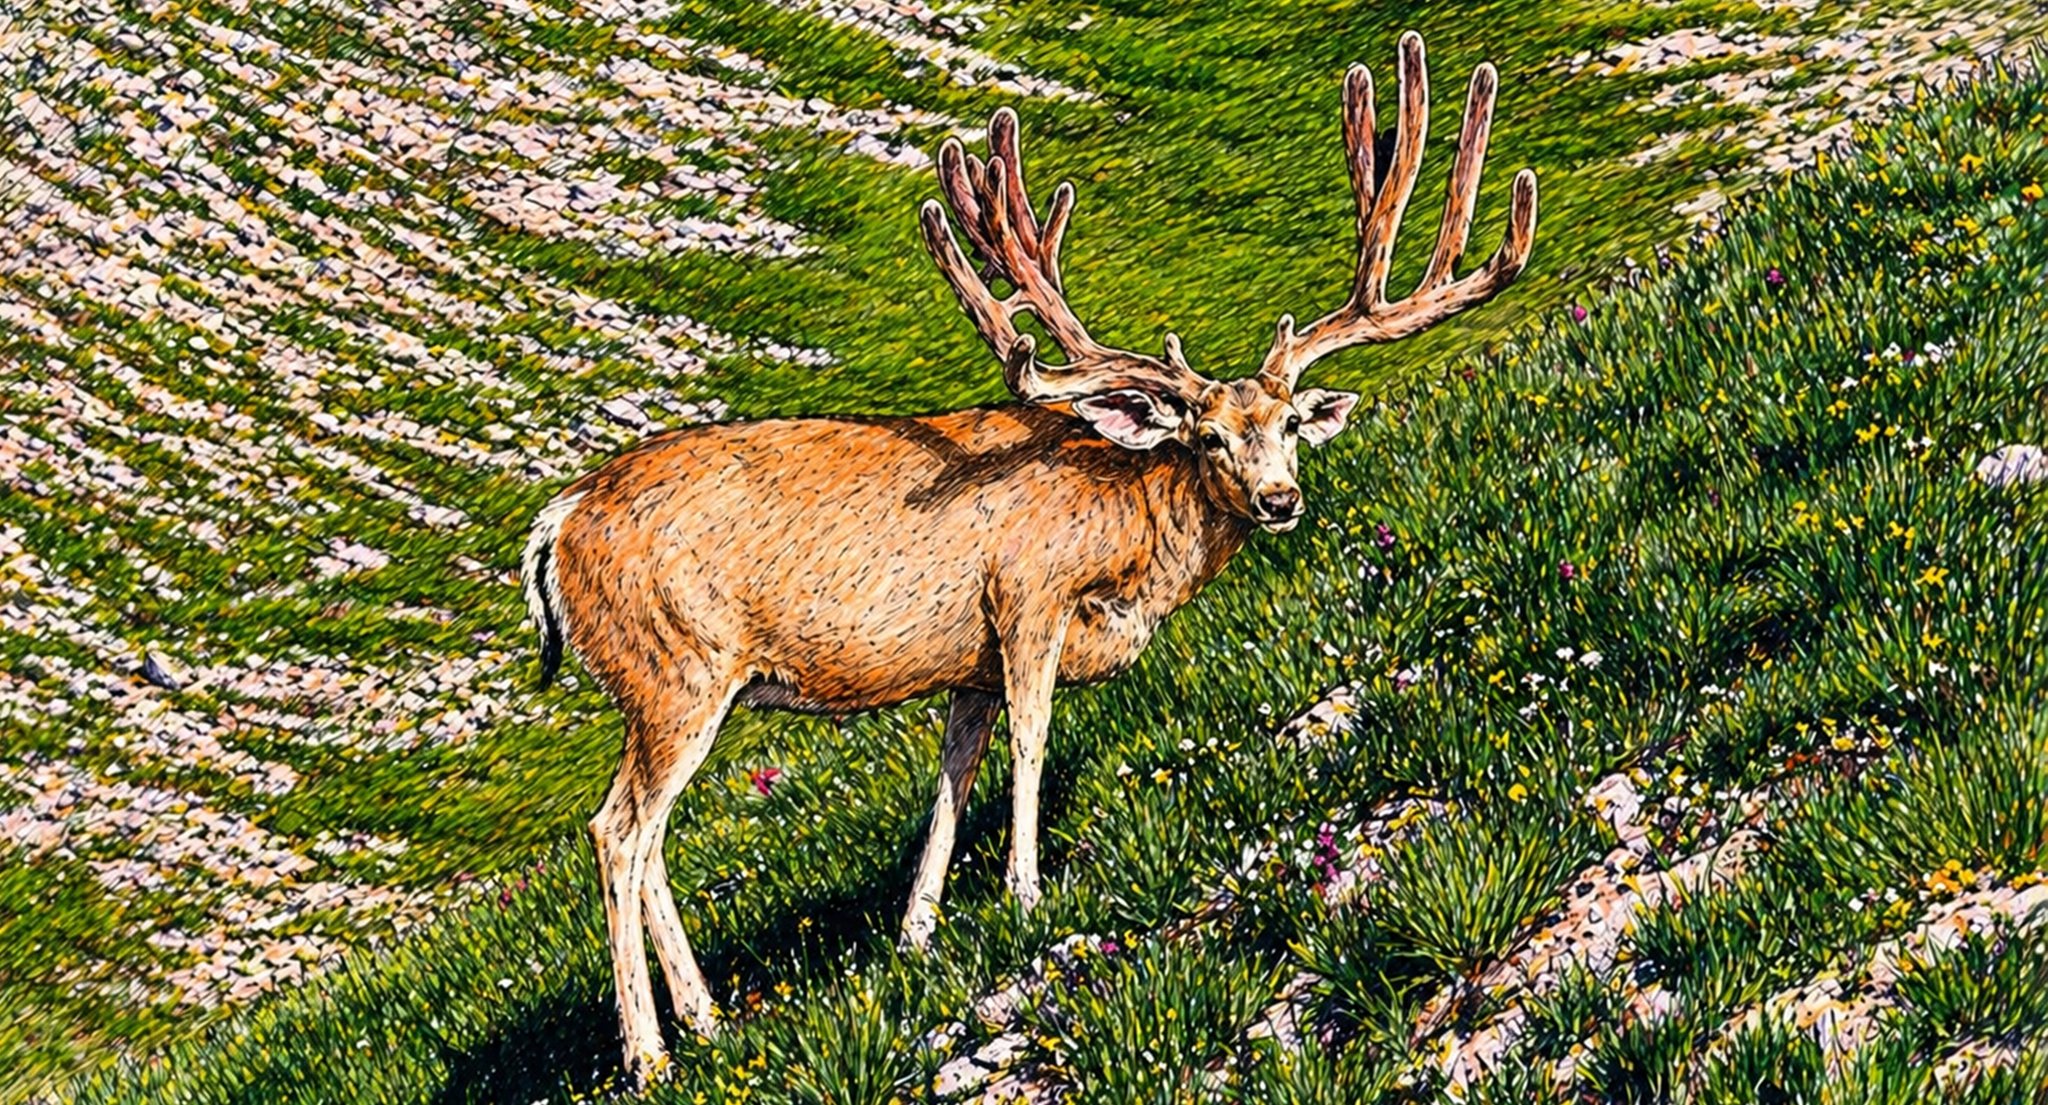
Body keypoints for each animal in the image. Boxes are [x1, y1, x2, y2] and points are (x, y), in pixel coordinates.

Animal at [521, 30, 1536, 1085]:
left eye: (1290, 424)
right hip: (671, 668)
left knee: (651, 839)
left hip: (670, 685)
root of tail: (555, 523)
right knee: (618, 829)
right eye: (1208, 436)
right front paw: (1026, 895)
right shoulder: (1026, 597)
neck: (1127, 538)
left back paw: (709, 1022)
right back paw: (651, 1054)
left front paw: (918, 934)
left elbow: (950, 779)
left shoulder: (964, 661)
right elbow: (1030, 742)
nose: (1280, 498)